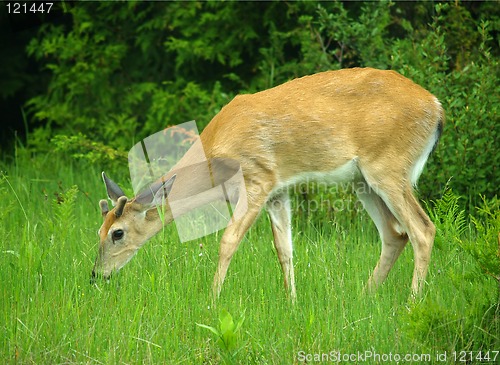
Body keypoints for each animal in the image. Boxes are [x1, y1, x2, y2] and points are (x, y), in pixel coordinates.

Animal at [92, 67, 444, 300]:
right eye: (98, 231)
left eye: (117, 233)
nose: (96, 275)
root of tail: (436, 107)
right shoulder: (279, 191)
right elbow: (284, 248)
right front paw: (292, 302)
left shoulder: (258, 179)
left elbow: (228, 240)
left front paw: (212, 300)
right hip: (363, 181)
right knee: (395, 234)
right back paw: (363, 296)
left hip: (388, 167)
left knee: (422, 229)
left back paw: (412, 303)